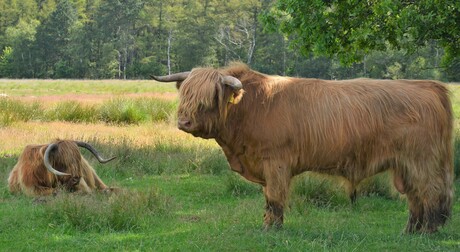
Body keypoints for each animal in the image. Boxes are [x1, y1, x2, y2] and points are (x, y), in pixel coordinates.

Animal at [153, 62, 454, 233]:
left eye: (208, 99)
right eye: (185, 95)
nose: (184, 122)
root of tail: (429, 86)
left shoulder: (275, 162)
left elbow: (275, 198)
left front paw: (271, 230)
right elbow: (268, 199)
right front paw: (268, 224)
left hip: (423, 161)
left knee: (431, 194)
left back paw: (428, 232)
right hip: (405, 165)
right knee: (415, 197)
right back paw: (410, 231)